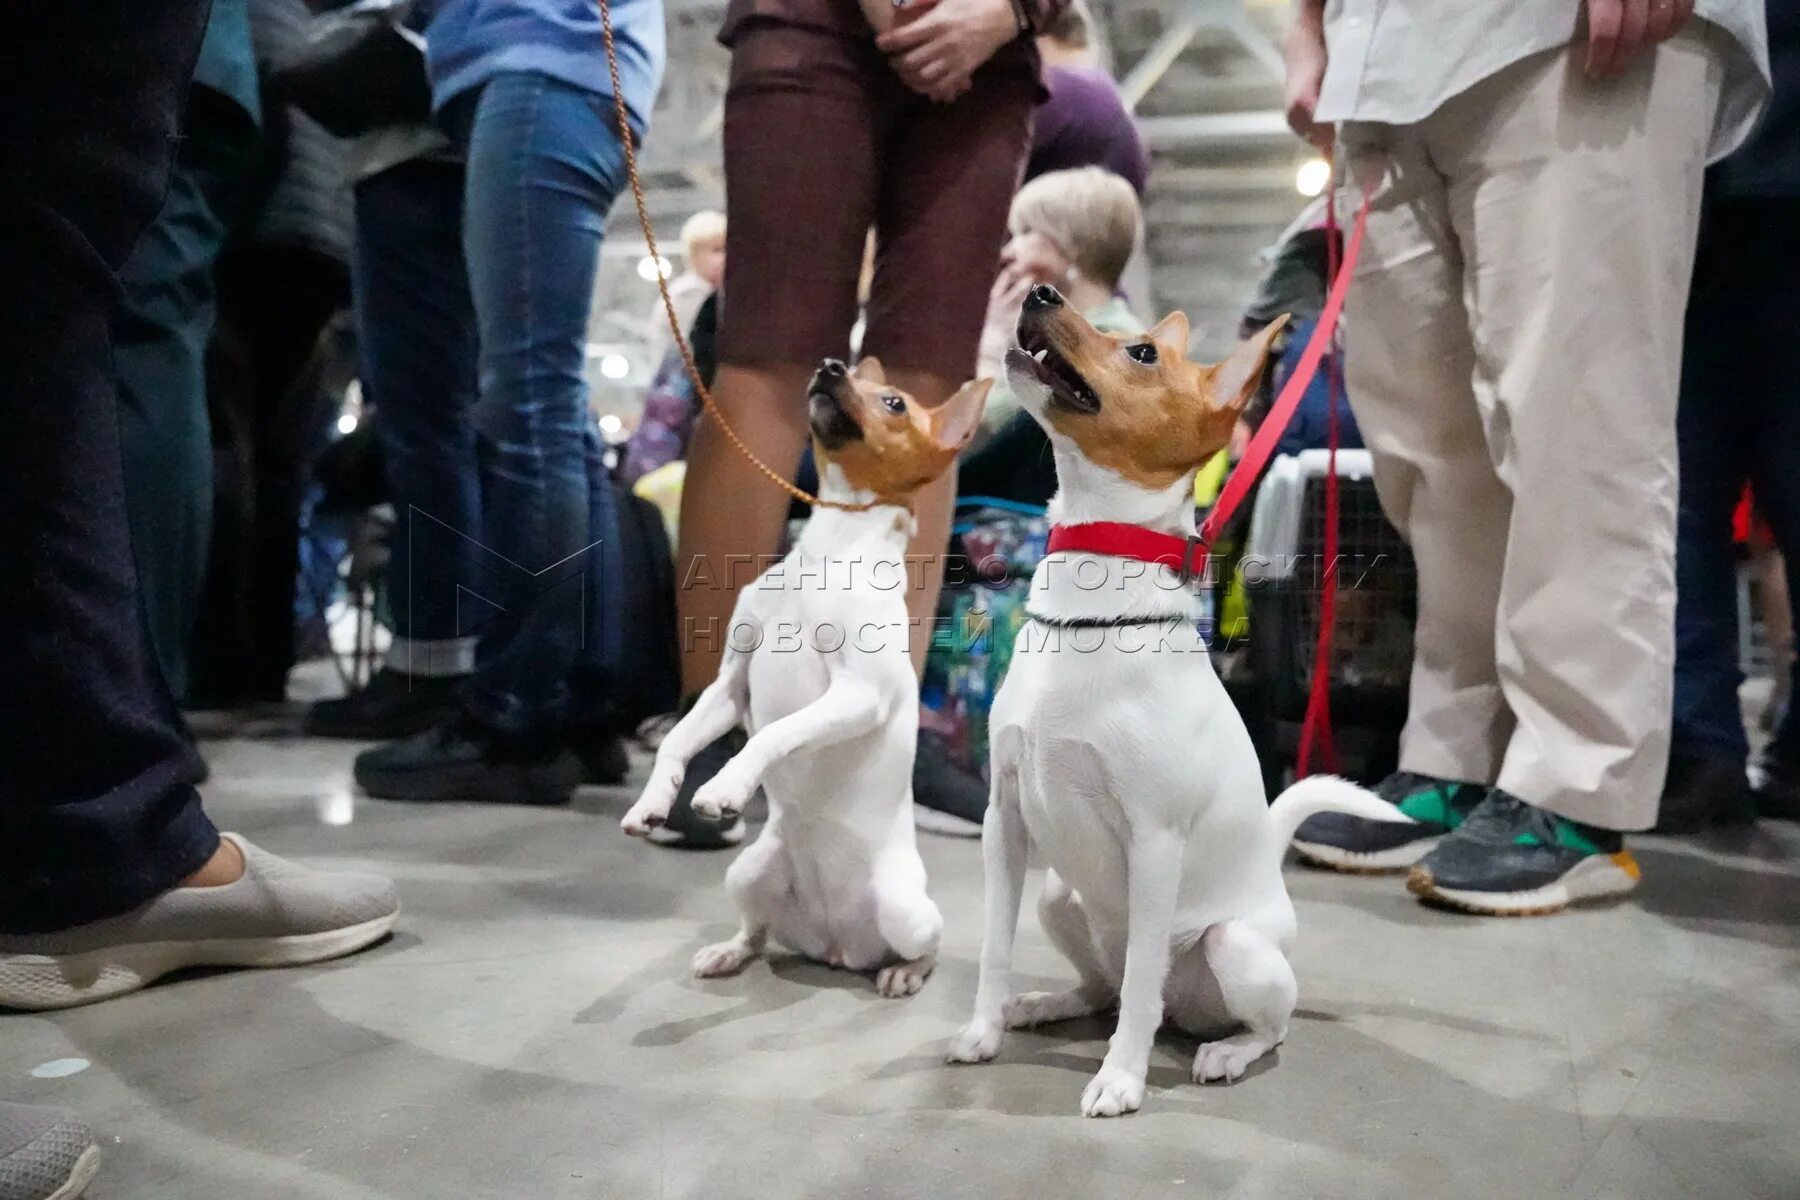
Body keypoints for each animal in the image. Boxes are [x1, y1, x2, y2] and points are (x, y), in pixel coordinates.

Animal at [615, 361, 986, 1000]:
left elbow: (774, 734)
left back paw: (903, 973)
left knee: (927, 947)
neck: (828, 553)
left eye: (893, 403)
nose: (829, 367)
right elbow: (678, 741)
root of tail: (837, 947)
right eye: (846, 369)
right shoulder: (730, 686)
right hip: (747, 875)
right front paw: (655, 801)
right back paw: (729, 952)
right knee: (758, 930)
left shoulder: (857, 696)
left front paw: (725, 787)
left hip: (906, 913)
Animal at [943, 286, 1404, 1122]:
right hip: (1058, 895)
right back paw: (1047, 1003)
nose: (1041, 291)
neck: (1090, 604)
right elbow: (996, 946)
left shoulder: (1154, 844)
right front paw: (982, 1032)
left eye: (1142, 353)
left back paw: (1224, 1052)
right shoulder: (1006, 820)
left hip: (1235, 949)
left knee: (1257, 1023)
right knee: (1102, 984)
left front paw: (1121, 1080)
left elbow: (1139, 990)